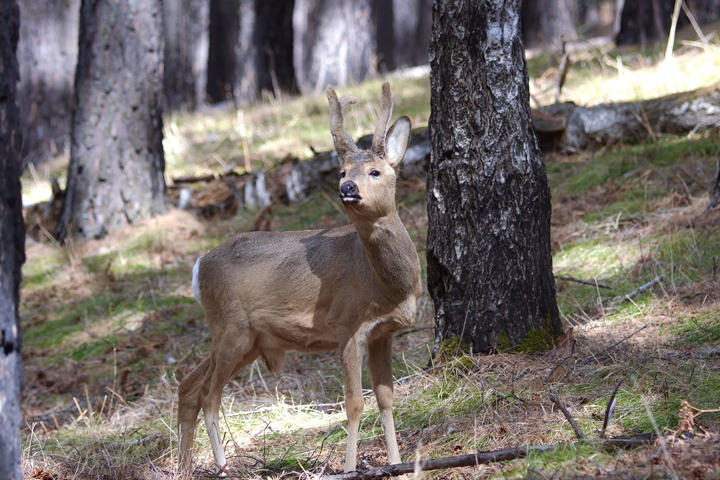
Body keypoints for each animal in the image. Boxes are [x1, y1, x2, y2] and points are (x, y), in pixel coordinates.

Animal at [177, 82, 422, 472]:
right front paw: (350, 468)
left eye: (375, 172)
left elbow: (386, 398)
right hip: (230, 325)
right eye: (342, 172)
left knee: (188, 385)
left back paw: (185, 466)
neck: (387, 287)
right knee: (208, 396)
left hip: (249, 339)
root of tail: (199, 265)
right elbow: (355, 404)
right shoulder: (347, 324)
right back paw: (222, 466)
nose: (347, 189)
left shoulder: (383, 333)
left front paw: (396, 462)